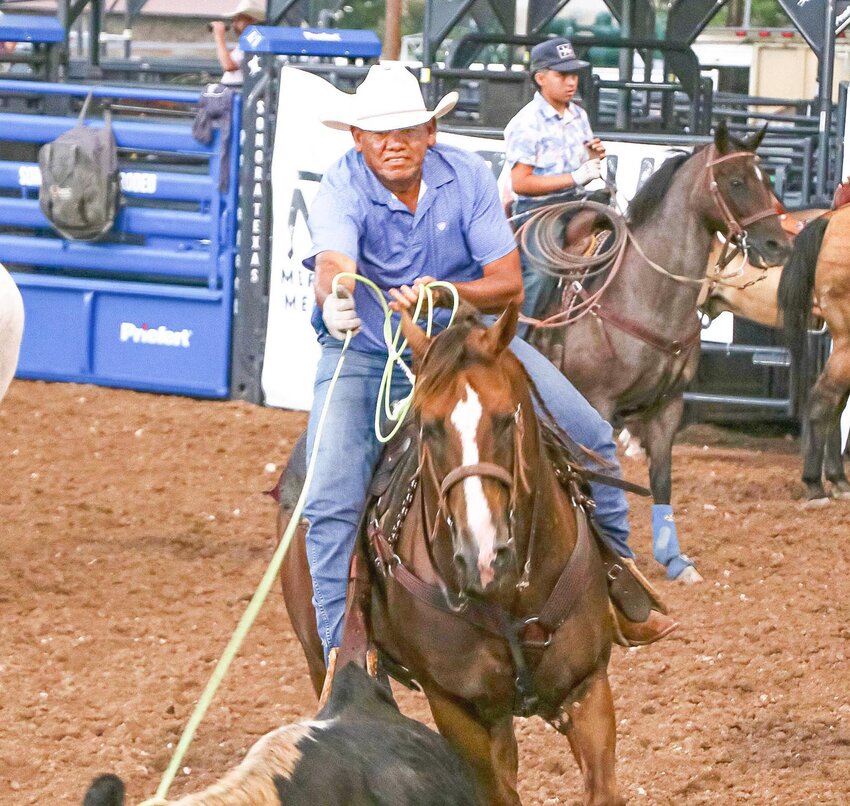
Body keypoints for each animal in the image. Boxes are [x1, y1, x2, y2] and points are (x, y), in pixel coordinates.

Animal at [282, 304, 620, 806]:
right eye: (430, 427)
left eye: (505, 418)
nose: (483, 554)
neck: (510, 598)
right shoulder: (458, 710)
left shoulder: (588, 687)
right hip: (316, 651)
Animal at [524, 123, 788, 584]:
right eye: (736, 182)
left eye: (767, 180)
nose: (778, 245)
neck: (646, 293)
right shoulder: (599, 403)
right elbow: (606, 475)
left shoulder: (669, 405)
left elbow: (661, 478)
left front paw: (676, 560)